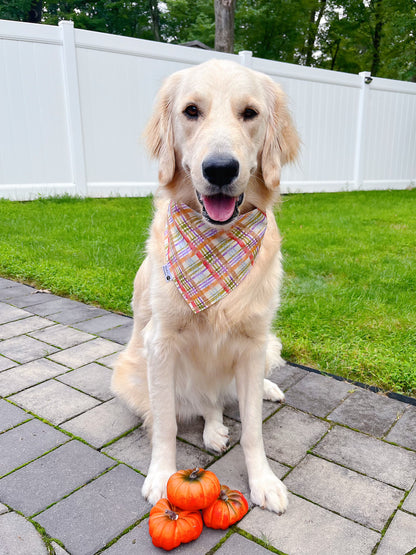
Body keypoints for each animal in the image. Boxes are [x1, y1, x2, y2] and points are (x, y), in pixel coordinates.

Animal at [110, 58, 300, 516]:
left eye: (250, 113)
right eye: (191, 111)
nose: (220, 169)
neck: (216, 243)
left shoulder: (252, 342)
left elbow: (253, 430)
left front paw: (263, 481)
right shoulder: (160, 342)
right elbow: (164, 423)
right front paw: (162, 476)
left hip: (269, 345)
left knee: (226, 398)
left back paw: (264, 392)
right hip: (130, 374)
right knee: (202, 405)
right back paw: (212, 429)